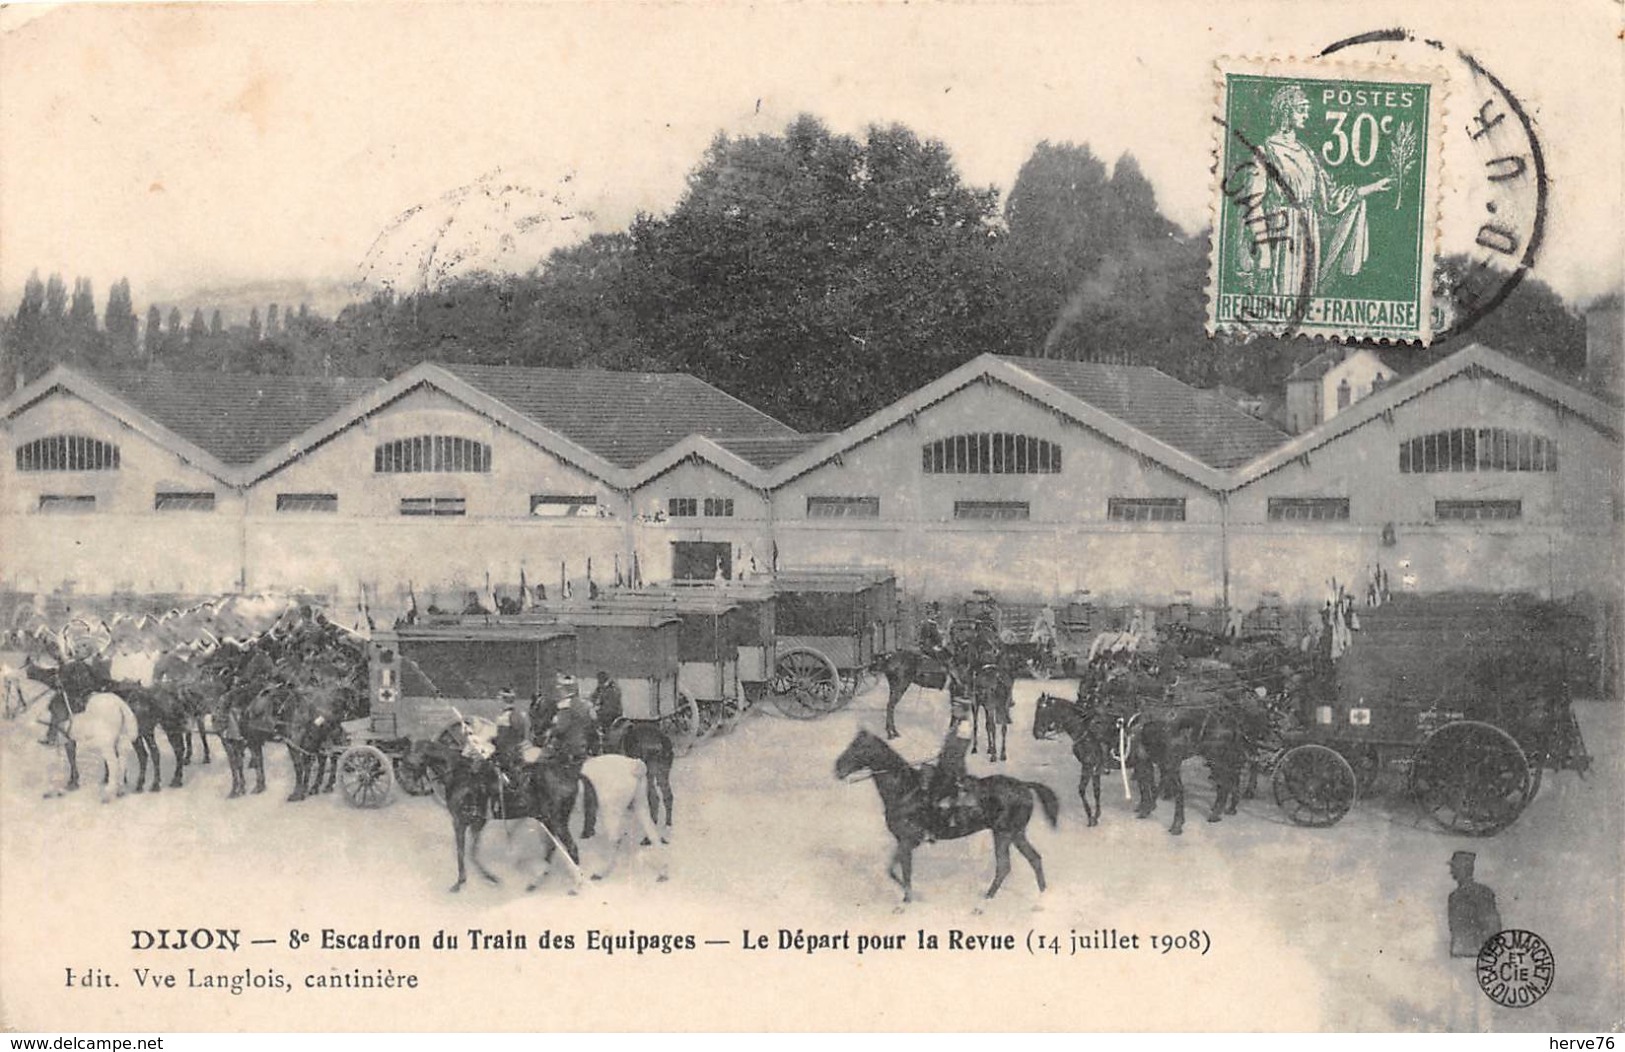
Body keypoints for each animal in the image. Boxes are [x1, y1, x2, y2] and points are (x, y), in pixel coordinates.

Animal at [832, 731, 1059, 904]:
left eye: (858, 747)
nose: (838, 769)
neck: (906, 790)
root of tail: (1024, 785)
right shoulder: (905, 842)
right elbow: (892, 870)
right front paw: (909, 896)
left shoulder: (907, 841)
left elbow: (904, 871)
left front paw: (907, 900)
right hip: (1016, 834)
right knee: (1034, 859)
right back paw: (1042, 894)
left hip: (1003, 834)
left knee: (1004, 866)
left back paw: (985, 901)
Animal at [1033, 695, 1111, 825]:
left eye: (1041, 712)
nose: (1035, 733)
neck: (1084, 731)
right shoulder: (1094, 768)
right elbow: (1096, 791)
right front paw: (1096, 815)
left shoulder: (1088, 765)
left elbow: (1082, 790)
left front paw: (1090, 816)